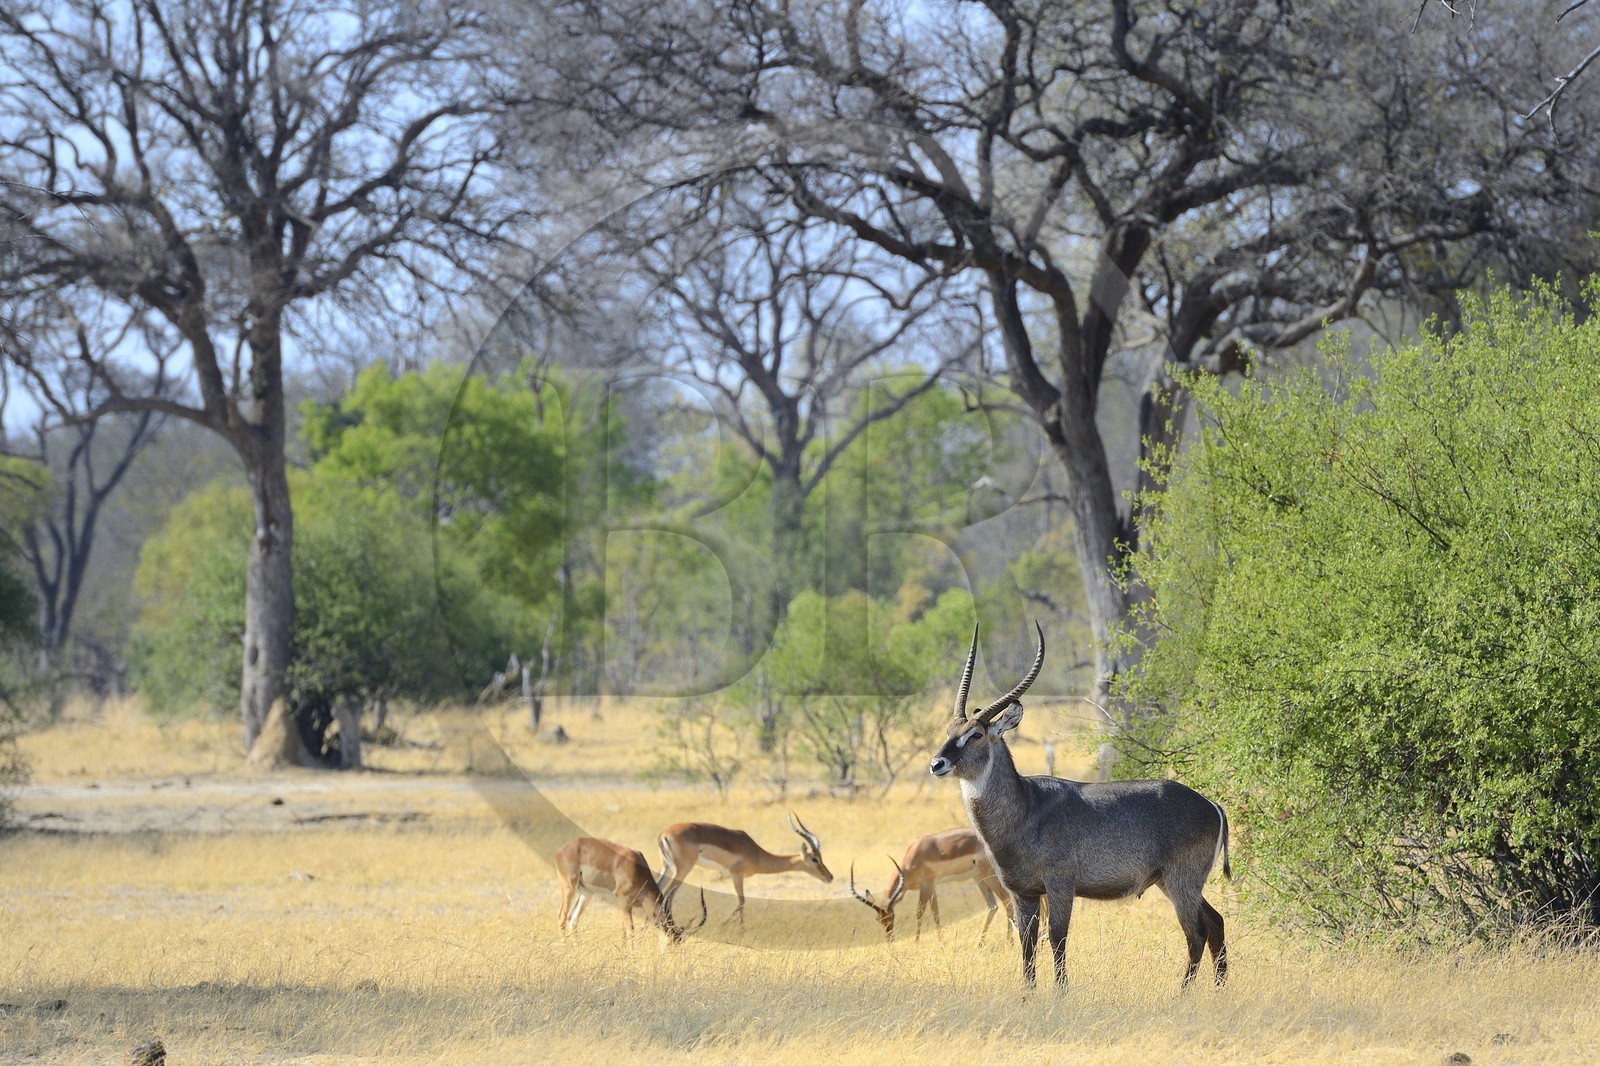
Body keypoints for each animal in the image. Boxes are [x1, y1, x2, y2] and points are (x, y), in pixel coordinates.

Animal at [554, 836, 707, 941]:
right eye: (671, 938)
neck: (636, 868)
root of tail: (561, 850)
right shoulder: (623, 900)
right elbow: (630, 931)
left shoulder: (627, 905)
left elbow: (624, 931)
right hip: (568, 888)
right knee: (562, 917)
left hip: (586, 893)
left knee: (573, 919)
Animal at [657, 812, 833, 922]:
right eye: (815, 859)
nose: (830, 877)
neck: (755, 853)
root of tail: (663, 834)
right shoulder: (736, 875)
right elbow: (741, 901)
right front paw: (731, 927)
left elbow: (741, 901)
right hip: (683, 869)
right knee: (669, 894)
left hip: (667, 867)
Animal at [847, 826, 1015, 942]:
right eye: (879, 919)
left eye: (893, 916)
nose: (890, 939)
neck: (913, 856)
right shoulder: (932, 885)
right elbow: (936, 913)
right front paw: (941, 941)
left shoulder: (926, 885)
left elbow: (920, 912)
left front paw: (916, 941)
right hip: (979, 878)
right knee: (993, 906)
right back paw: (979, 943)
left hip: (990, 876)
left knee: (1007, 901)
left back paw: (1009, 942)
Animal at [928, 624, 1231, 990]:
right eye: (949, 730)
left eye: (976, 735)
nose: (937, 763)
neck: (1026, 808)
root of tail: (1211, 805)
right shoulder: (1022, 893)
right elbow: (1027, 945)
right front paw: (1028, 994)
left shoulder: (1060, 886)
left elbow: (1058, 939)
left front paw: (1061, 994)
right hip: (1174, 882)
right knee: (1215, 923)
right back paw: (1219, 991)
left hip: (1181, 881)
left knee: (1197, 932)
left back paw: (1182, 994)